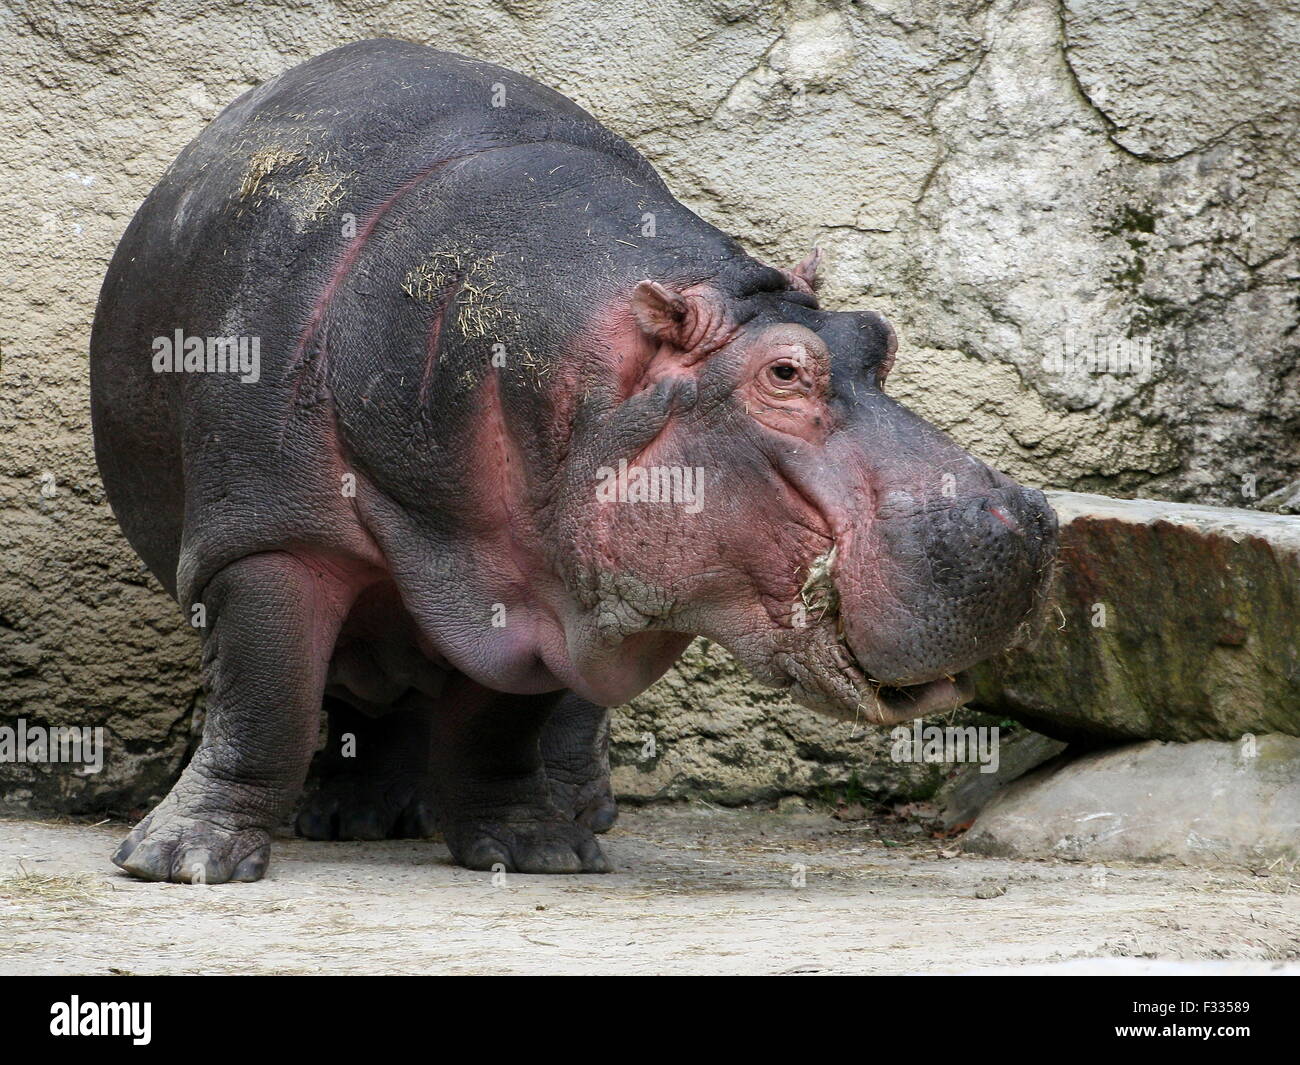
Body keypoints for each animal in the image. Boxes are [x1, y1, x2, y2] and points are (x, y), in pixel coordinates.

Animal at [91, 39, 1060, 884]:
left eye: (878, 335)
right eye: (784, 371)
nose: (1028, 518)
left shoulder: (546, 581)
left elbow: (504, 720)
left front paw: (537, 851)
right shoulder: (264, 539)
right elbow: (267, 701)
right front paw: (183, 864)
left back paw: (557, 813)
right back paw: (351, 820)